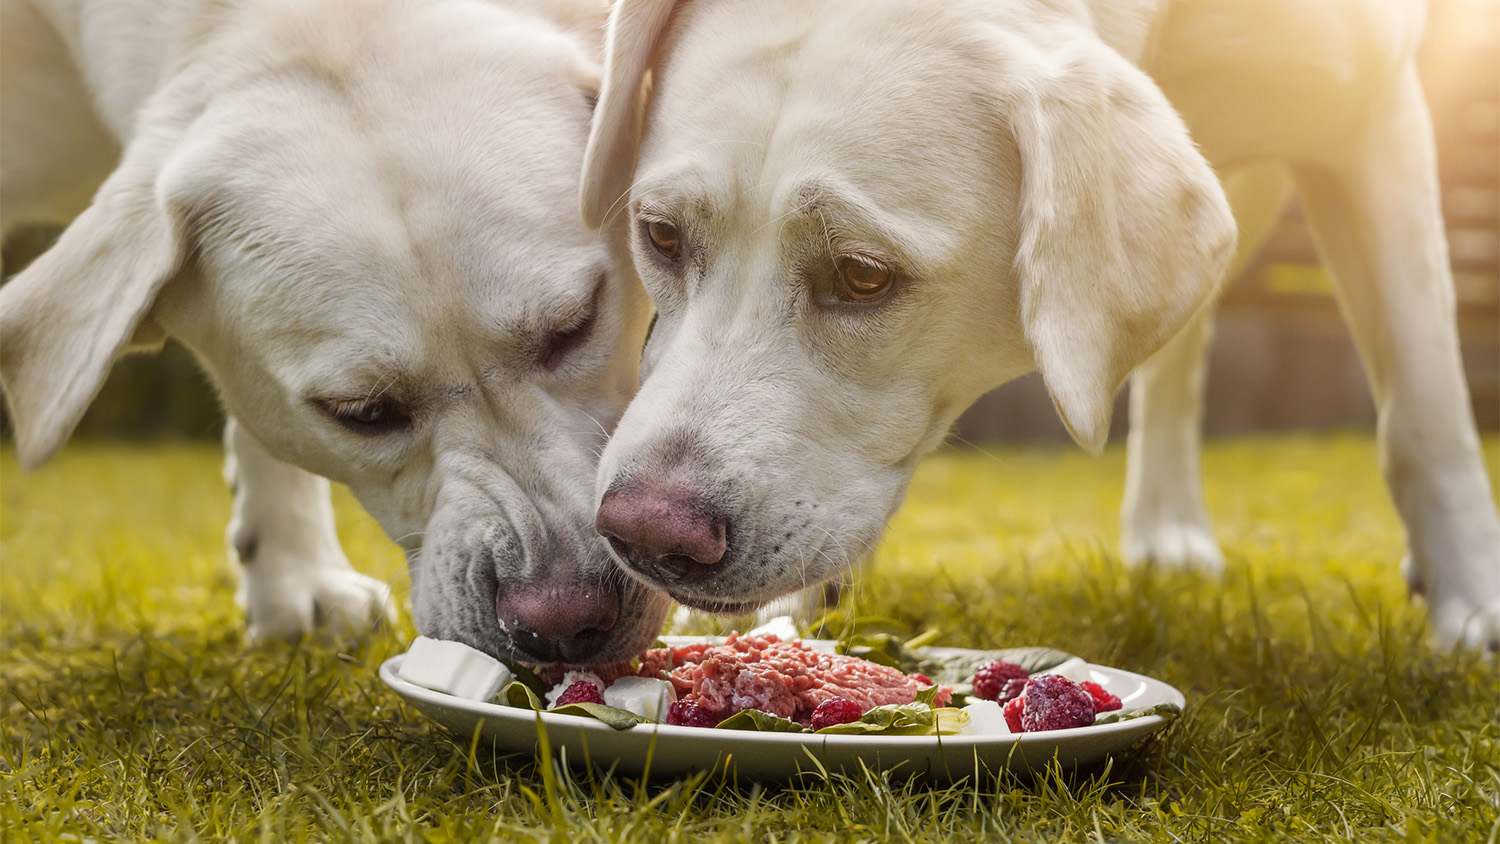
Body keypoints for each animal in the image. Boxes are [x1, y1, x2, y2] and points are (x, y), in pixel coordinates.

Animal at [579, 0, 1500, 650]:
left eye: (862, 276)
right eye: (661, 235)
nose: (644, 532)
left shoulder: (1376, 117)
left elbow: (1424, 402)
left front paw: (1473, 602)